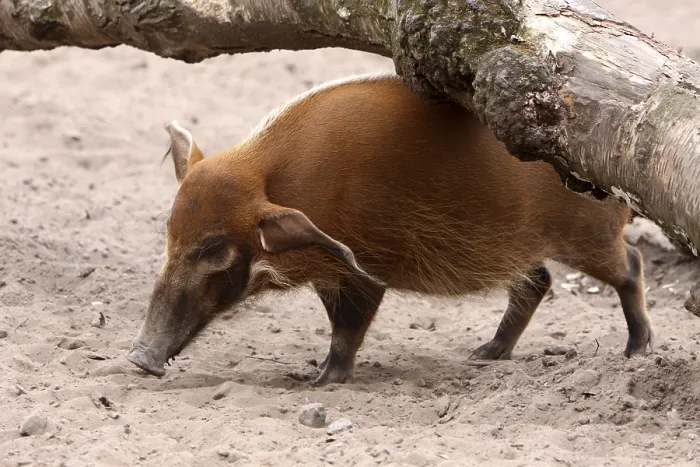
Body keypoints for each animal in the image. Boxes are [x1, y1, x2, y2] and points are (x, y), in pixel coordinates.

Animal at [126, 73, 652, 386]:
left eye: (215, 249)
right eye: (169, 235)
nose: (139, 358)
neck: (283, 183)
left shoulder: (360, 269)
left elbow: (348, 328)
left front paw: (320, 381)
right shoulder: (331, 272)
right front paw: (314, 373)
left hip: (587, 235)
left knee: (630, 265)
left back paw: (636, 351)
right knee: (538, 281)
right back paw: (483, 354)